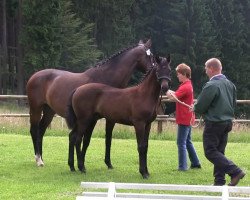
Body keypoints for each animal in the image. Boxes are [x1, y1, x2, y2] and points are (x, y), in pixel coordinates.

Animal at [26, 39, 153, 167]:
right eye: (150, 56)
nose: (153, 69)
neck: (105, 79)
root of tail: (34, 76)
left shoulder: (110, 118)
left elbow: (108, 139)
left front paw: (108, 163)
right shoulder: (92, 119)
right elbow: (86, 140)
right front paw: (81, 163)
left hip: (49, 111)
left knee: (41, 131)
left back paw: (41, 159)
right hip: (36, 108)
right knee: (34, 130)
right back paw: (38, 160)